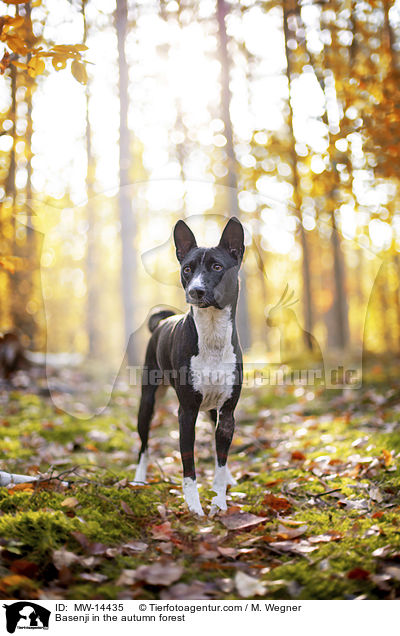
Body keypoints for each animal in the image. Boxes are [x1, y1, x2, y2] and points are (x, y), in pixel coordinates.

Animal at [134, 216, 244, 516]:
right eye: (187, 269)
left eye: (217, 267)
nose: (196, 291)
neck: (212, 335)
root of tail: (160, 323)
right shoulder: (186, 412)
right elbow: (188, 466)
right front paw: (195, 507)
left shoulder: (227, 412)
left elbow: (220, 462)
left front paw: (219, 501)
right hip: (147, 402)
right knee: (144, 445)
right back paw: (139, 479)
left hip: (212, 410)